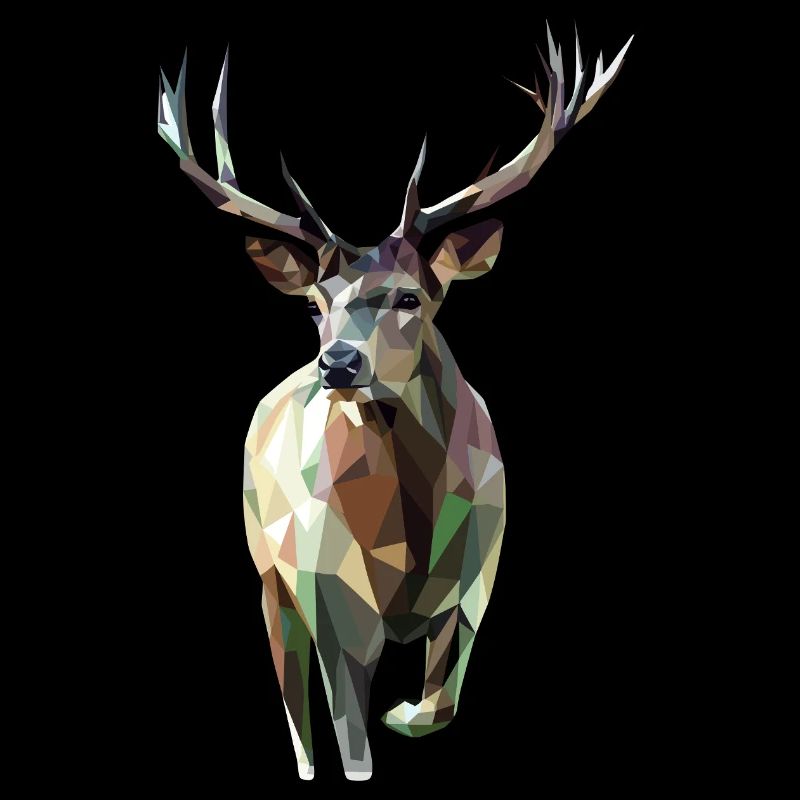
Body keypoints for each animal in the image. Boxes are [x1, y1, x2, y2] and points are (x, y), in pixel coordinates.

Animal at [158, 24, 632, 781]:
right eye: (314, 306)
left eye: (411, 297)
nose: (338, 364)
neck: (409, 542)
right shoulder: (330, 601)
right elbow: (351, 743)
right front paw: (378, 729)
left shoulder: (480, 579)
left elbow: (444, 693)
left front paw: (407, 712)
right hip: (269, 576)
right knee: (295, 709)